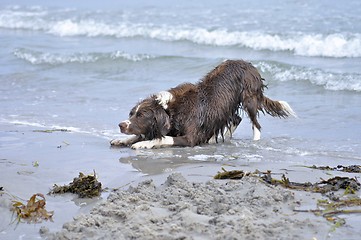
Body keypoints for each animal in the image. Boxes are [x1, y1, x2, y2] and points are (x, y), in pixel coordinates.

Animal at [109, 59, 296, 149]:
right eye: (131, 114)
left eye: (141, 115)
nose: (121, 125)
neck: (172, 110)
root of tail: (248, 64)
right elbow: (144, 134)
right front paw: (122, 140)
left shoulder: (190, 137)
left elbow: (162, 138)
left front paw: (142, 143)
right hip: (226, 107)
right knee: (236, 119)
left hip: (249, 98)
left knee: (255, 124)